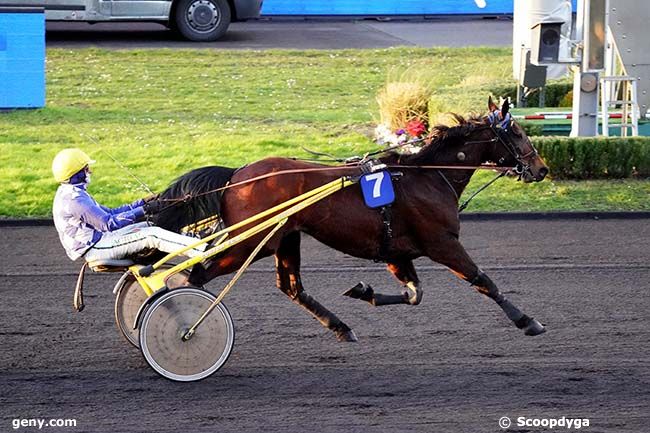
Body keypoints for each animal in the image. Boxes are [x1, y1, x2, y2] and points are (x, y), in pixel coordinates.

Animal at [152, 98, 548, 340]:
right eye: (517, 132)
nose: (541, 168)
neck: (429, 176)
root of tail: (237, 175)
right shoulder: (442, 243)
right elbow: (484, 281)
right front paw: (528, 321)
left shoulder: (396, 253)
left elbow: (414, 294)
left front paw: (363, 292)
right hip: (251, 241)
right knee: (192, 275)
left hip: (285, 237)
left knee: (291, 287)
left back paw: (341, 327)